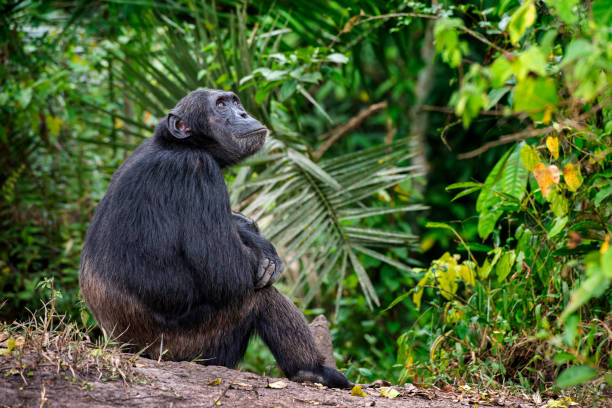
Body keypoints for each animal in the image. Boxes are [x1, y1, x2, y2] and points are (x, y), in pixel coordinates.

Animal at [79, 88, 352, 388]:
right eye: (220, 105)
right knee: (258, 295)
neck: (180, 146)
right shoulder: (197, 170)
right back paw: (312, 370)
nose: (243, 113)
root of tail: (124, 348)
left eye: (235, 102)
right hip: (193, 347)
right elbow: (225, 271)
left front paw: (249, 230)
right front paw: (258, 246)